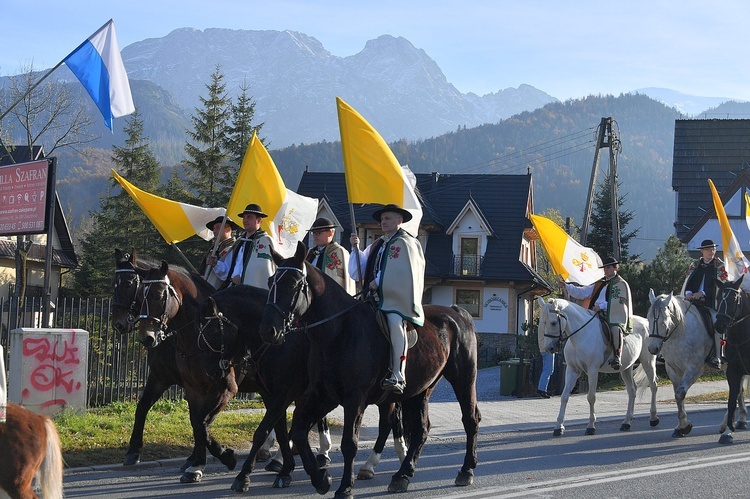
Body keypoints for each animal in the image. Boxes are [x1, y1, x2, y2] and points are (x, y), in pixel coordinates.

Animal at [194, 286, 406, 492]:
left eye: (213, 332)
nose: (211, 371)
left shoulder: (284, 393)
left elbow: (262, 431)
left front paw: (243, 475)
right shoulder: (271, 395)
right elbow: (279, 430)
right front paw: (284, 468)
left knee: (388, 421)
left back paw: (386, 463)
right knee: (390, 419)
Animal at [258, 244, 482, 498]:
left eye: (295, 284)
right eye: (270, 281)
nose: (268, 330)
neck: (339, 331)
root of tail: (457, 312)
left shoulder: (354, 399)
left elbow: (349, 444)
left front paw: (345, 487)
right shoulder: (323, 395)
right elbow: (298, 430)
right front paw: (321, 478)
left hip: (464, 379)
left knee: (470, 419)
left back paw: (466, 470)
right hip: (420, 390)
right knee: (421, 430)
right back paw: (402, 474)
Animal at [536, 296, 660, 438]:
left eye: (553, 323)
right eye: (542, 322)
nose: (548, 348)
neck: (581, 335)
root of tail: (646, 321)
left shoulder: (592, 370)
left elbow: (591, 397)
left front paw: (590, 426)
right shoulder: (572, 370)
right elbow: (564, 396)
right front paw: (559, 427)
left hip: (648, 361)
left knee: (653, 385)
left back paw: (653, 418)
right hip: (626, 367)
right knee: (632, 390)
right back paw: (626, 422)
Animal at [648, 290, 748, 438]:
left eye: (664, 321)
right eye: (648, 319)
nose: (652, 348)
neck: (679, 333)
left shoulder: (694, 368)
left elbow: (680, 393)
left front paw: (685, 426)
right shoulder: (672, 369)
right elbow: (677, 396)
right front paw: (680, 427)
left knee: (737, 390)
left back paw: (727, 424)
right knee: (739, 390)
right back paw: (739, 421)